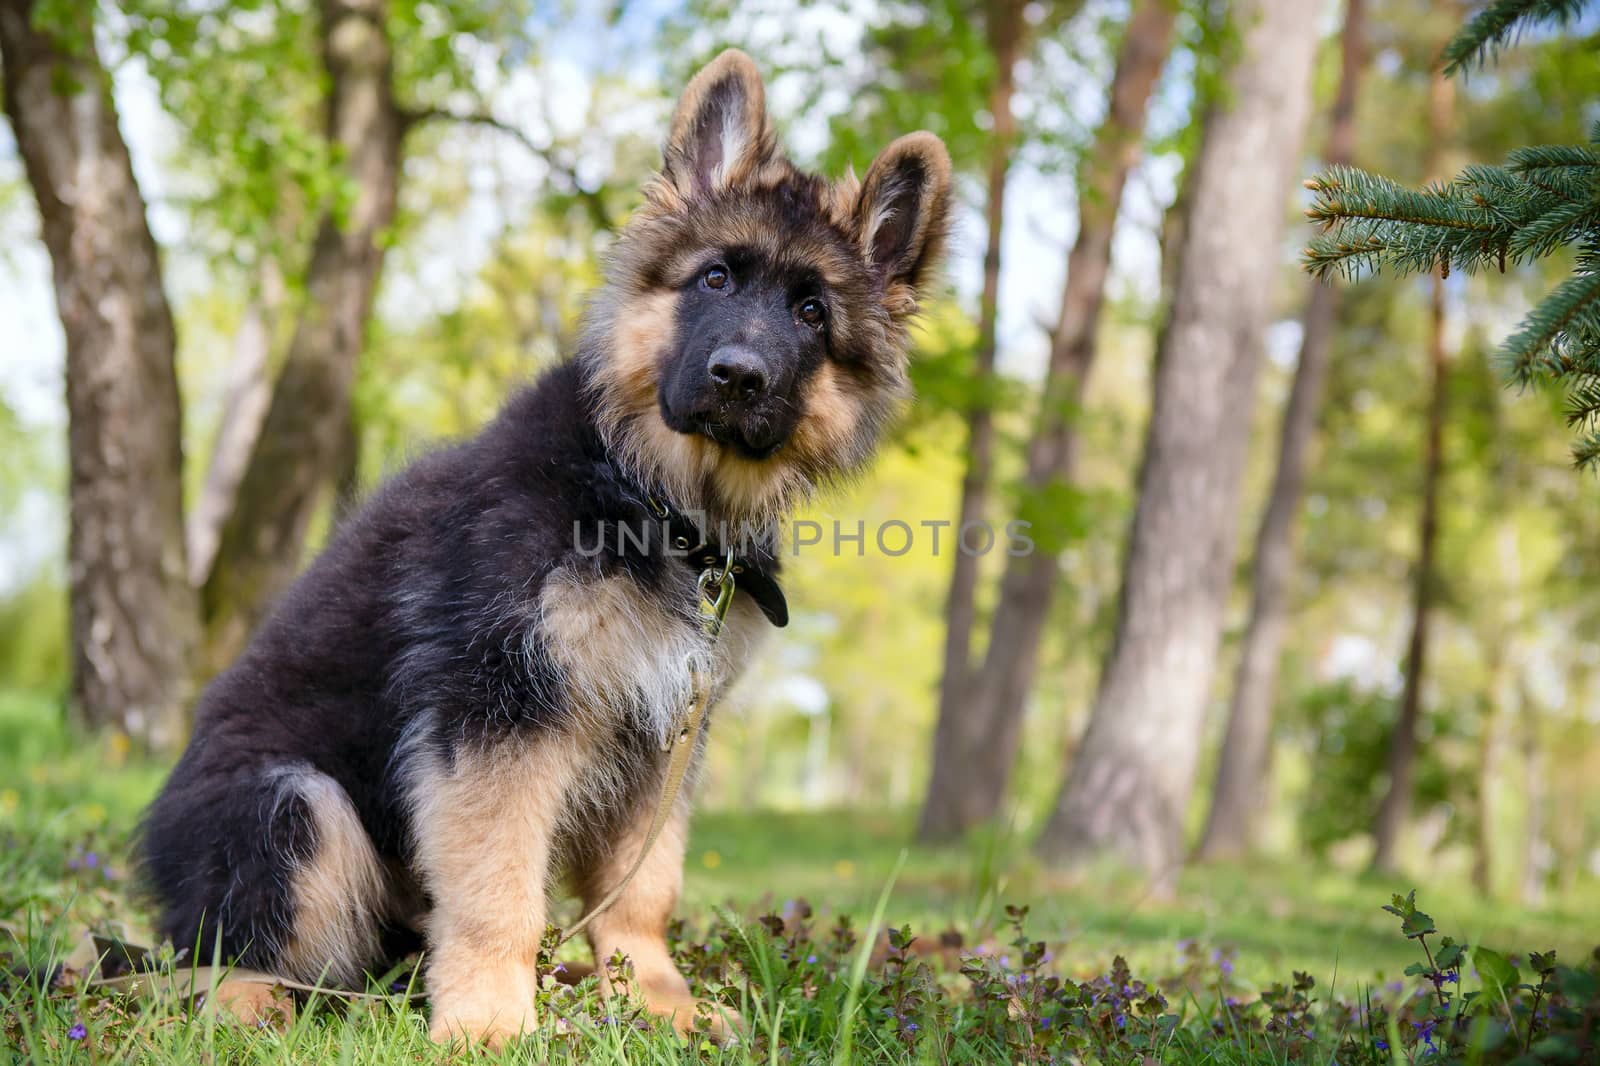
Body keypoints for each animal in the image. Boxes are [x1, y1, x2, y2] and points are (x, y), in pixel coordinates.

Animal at [140, 52, 947, 1043]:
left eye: (809, 312)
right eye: (715, 279)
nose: (738, 378)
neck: (646, 494)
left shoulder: (665, 731)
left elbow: (642, 890)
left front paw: (657, 1001)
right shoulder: (500, 710)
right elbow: (499, 889)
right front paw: (489, 1020)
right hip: (296, 803)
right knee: (214, 958)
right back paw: (253, 1005)